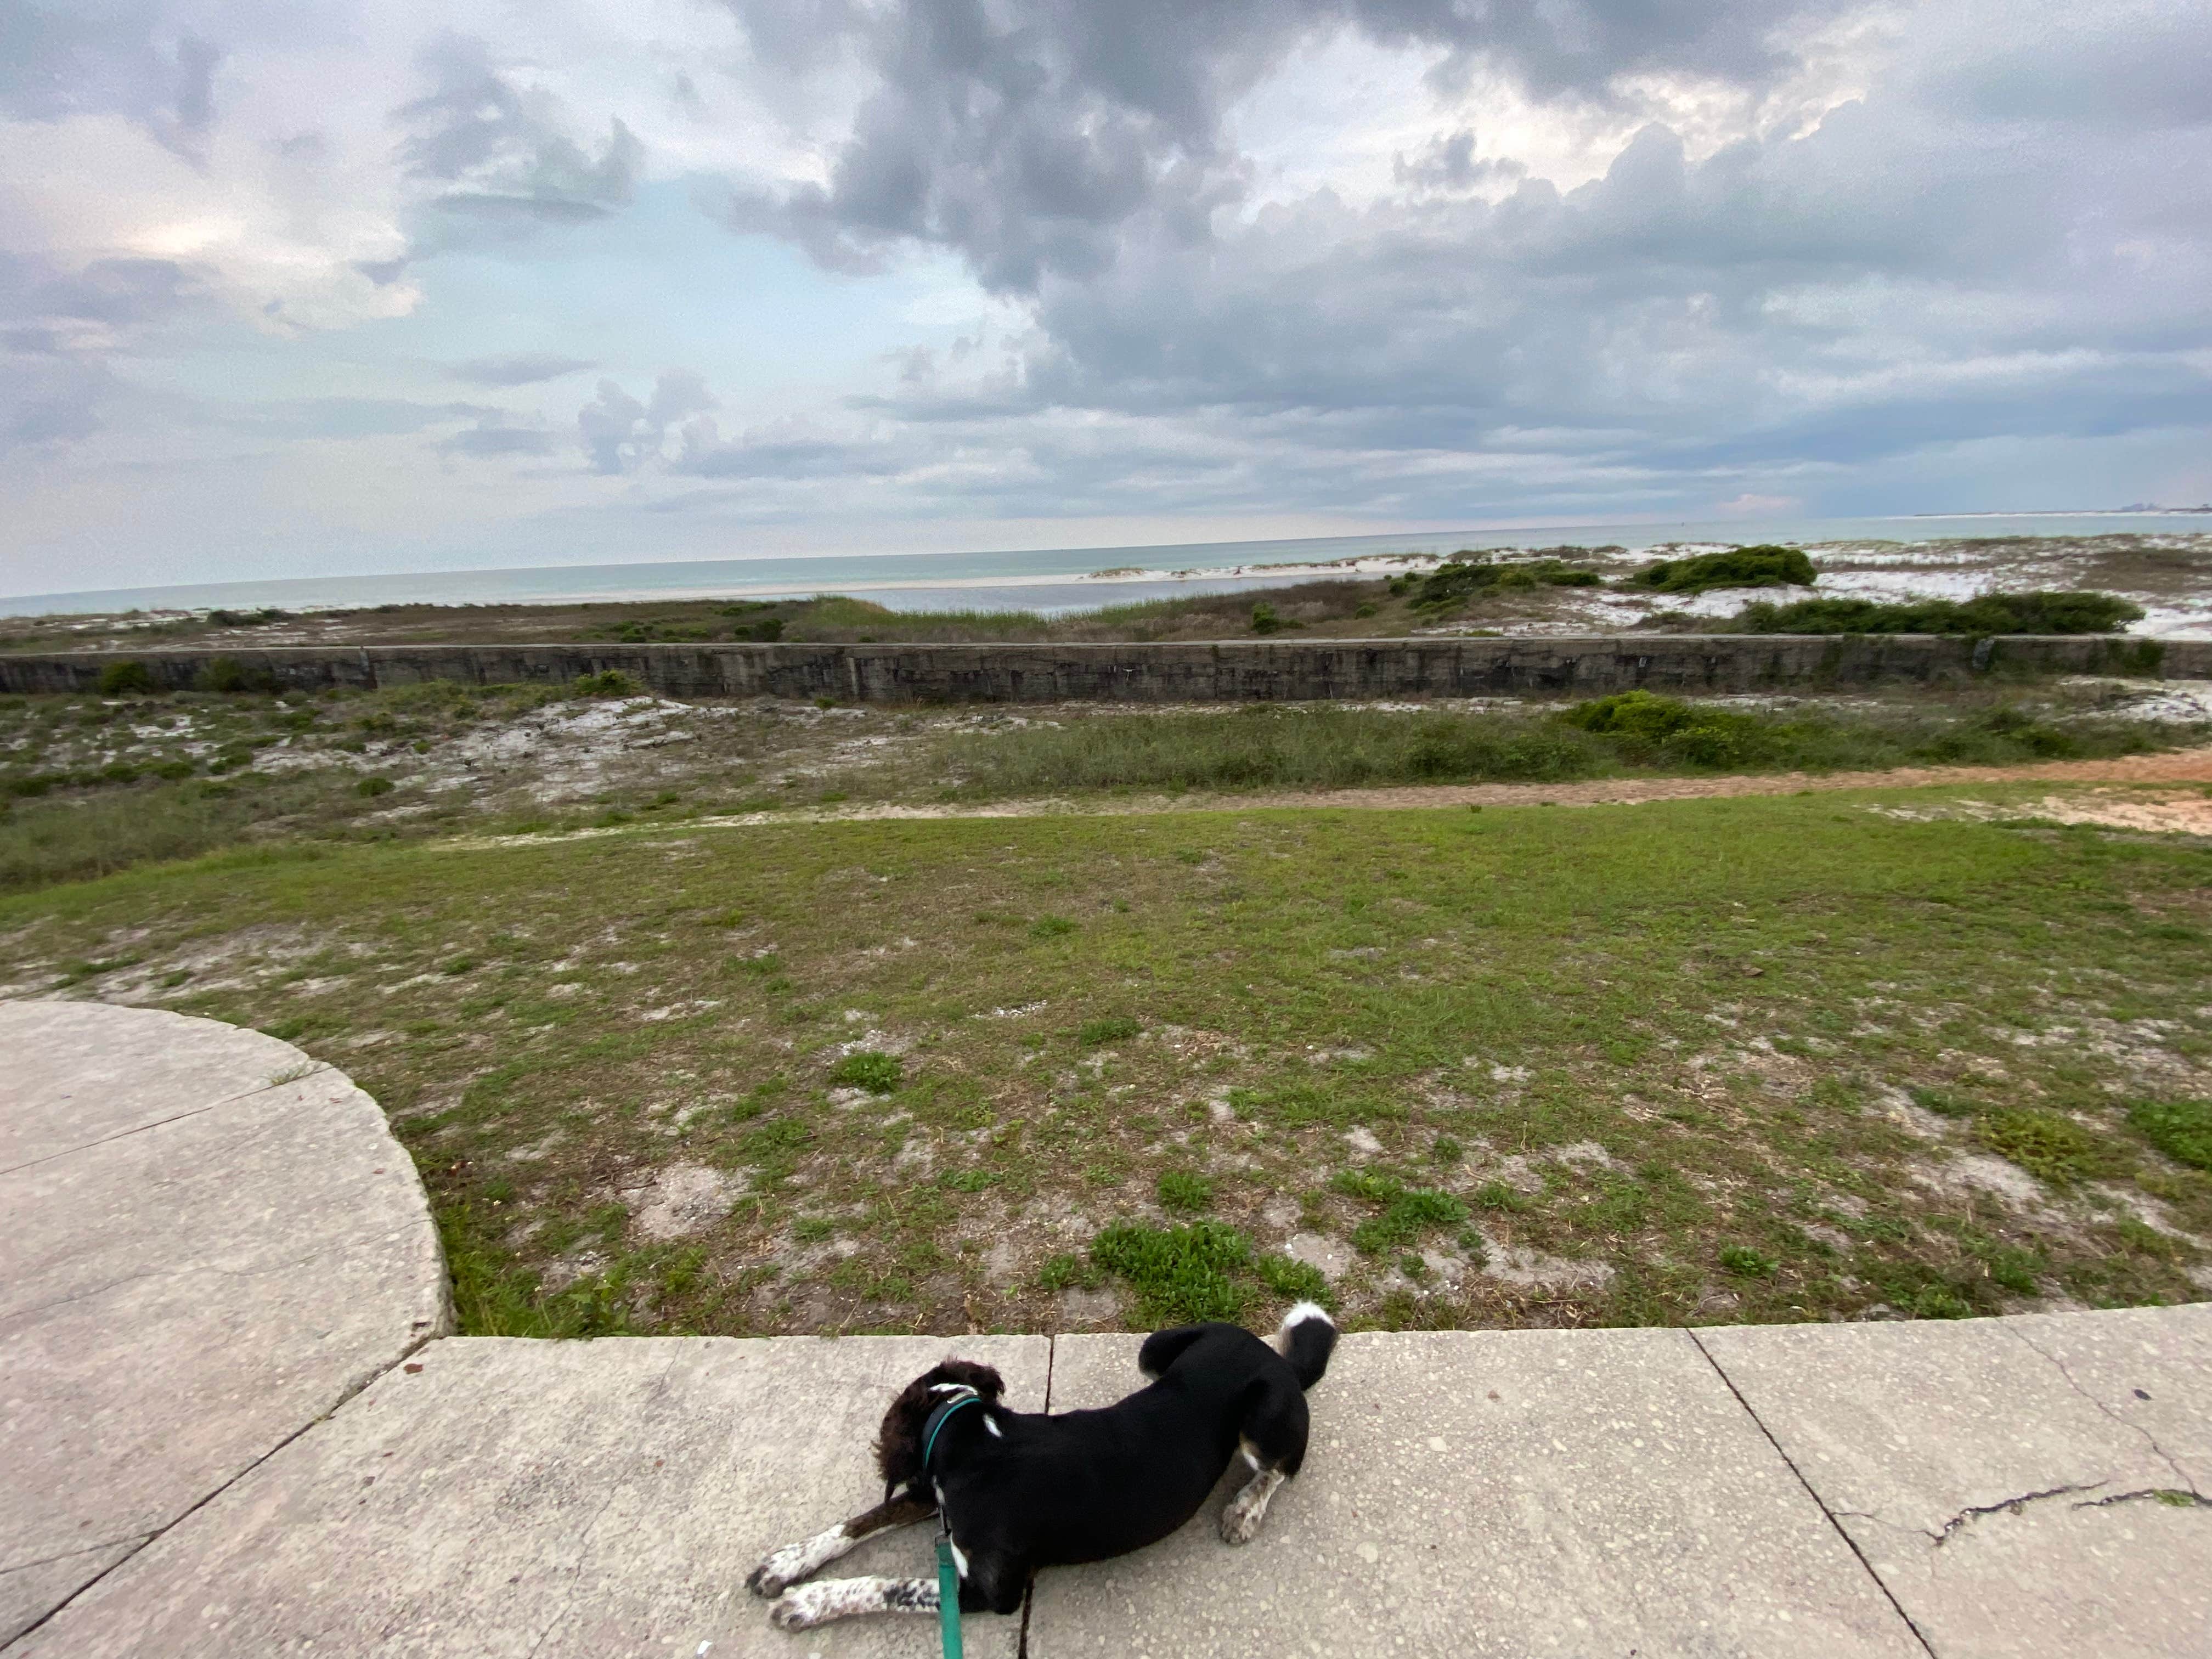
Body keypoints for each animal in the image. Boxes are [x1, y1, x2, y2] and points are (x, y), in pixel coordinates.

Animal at [747, 1300, 1327, 1637]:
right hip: (1154, 1349)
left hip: (1261, 1423)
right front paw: (787, 1564)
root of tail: (1278, 1359)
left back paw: (1245, 1510)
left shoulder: (989, 1591)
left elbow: (891, 1586)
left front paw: (809, 1601)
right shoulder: (931, 1490)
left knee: (1282, 1467)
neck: (970, 1433)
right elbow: (862, 1520)